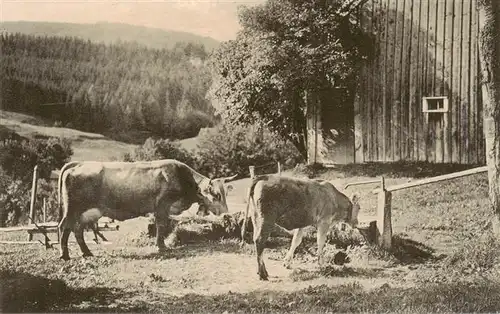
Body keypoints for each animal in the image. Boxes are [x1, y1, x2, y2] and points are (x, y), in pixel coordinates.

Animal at [57, 159, 238, 260]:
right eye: (216, 195)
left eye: (224, 193)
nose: (226, 214)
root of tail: (79, 164)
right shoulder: (162, 206)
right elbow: (161, 226)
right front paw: (161, 246)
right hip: (73, 209)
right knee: (64, 227)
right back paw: (65, 255)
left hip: (85, 213)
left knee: (77, 230)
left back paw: (86, 253)